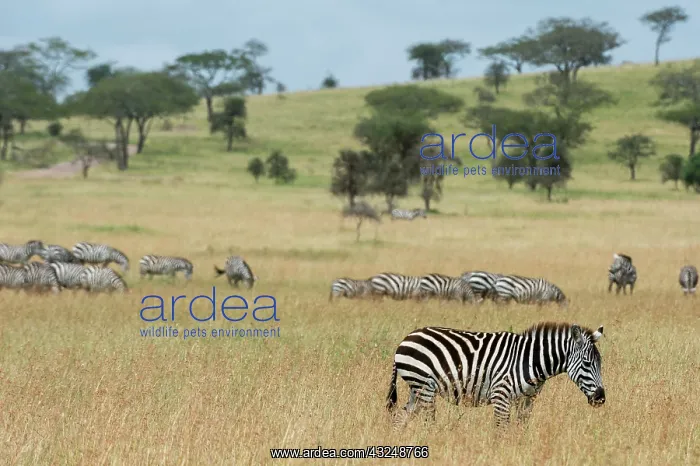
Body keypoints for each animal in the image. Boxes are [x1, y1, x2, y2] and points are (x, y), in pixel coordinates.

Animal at [386, 322, 605, 429]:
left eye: (600, 364)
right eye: (587, 364)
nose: (601, 399)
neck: (530, 361)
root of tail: (405, 339)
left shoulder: (527, 400)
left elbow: (521, 429)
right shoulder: (501, 395)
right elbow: (502, 430)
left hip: (417, 388)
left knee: (400, 418)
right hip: (425, 387)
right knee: (427, 422)